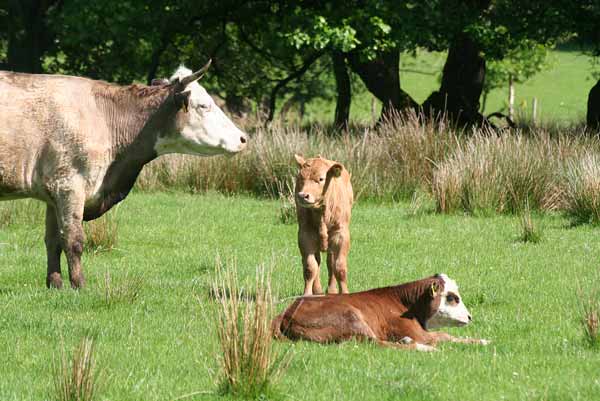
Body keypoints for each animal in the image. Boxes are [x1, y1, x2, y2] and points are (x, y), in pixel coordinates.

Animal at [0, 61, 248, 288]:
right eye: (204, 105)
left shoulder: (53, 192)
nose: (243, 138)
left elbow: (53, 241)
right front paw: (79, 286)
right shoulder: (69, 185)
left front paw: (55, 285)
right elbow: (74, 240)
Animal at [272, 272, 488, 350]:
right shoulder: (417, 332)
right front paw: (481, 341)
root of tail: (287, 311)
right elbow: (444, 336)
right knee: (377, 343)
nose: (470, 316)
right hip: (352, 318)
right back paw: (422, 348)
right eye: (452, 297)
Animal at [294, 155, 354, 296]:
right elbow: (310, 267)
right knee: (317, 262)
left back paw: (331, 290)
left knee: (330, 263)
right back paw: (318, 291)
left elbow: (339, 267)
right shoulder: (305, 234)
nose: (302, 196)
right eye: (300, 178)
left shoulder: (341, 234)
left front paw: (345, 293)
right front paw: (307, 294)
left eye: (321, 179)